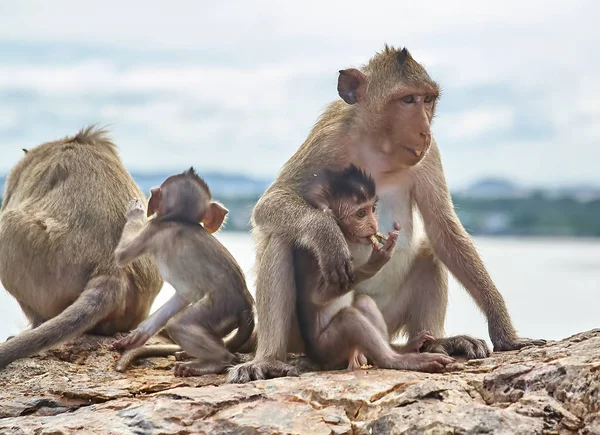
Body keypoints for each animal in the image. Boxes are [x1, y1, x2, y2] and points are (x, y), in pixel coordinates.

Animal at [109, 168, 254, 378]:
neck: (179, 218)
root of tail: (247, 304)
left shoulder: (153, 228)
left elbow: (122, 256)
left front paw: (135, 213)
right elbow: (182, 296)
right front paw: (136, 336)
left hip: (218, 308)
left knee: (178, 325)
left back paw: (214, 361)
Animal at [296, 165, 454, 372]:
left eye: (373, 209)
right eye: (361, 214)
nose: (373, 225)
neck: (344, 235)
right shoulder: (319, 254)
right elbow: (318, 296)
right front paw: (374, 263)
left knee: (364, 303)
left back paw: (403, 350)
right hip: (328, 352)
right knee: (350, 320)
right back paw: (397, 360)